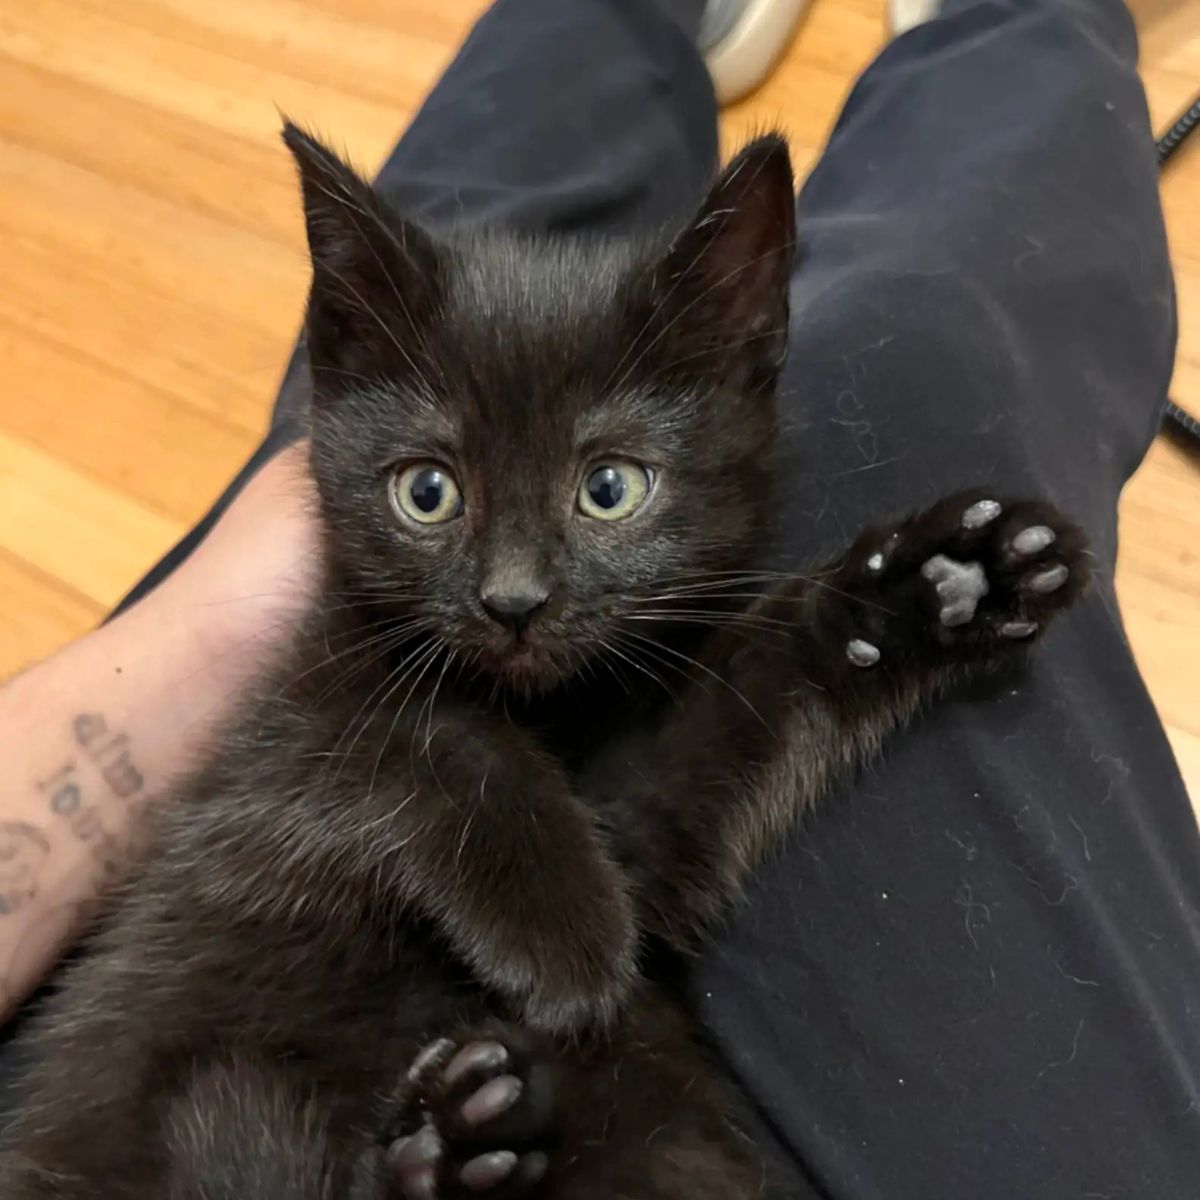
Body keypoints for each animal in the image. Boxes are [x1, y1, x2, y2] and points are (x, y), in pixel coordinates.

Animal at [0, 126, 1089, 1195]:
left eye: (610, 488)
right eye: (427, 492)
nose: (513, 601)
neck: (551, 710)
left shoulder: (648, 824)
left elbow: (736, 709)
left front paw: (942, 581)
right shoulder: (276, 756)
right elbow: (424, 746)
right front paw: (568, 943)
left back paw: (457, 1141)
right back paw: (454, 1142)